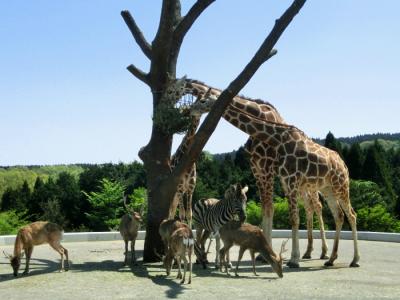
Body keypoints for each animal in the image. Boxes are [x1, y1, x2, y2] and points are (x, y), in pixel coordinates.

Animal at [188, 79, 360, 268]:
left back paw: (353, 259)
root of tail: (343, 164)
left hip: (340, 186)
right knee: (338, 215)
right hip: (327, 189)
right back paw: (330, 258)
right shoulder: (282, 180)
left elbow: (292, 218)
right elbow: (273, 211)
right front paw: (269, 255)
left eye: (203, 100)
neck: (277, 138)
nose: (190, 110)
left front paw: (293, 259)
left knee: (350, 214)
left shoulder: (287, 179)